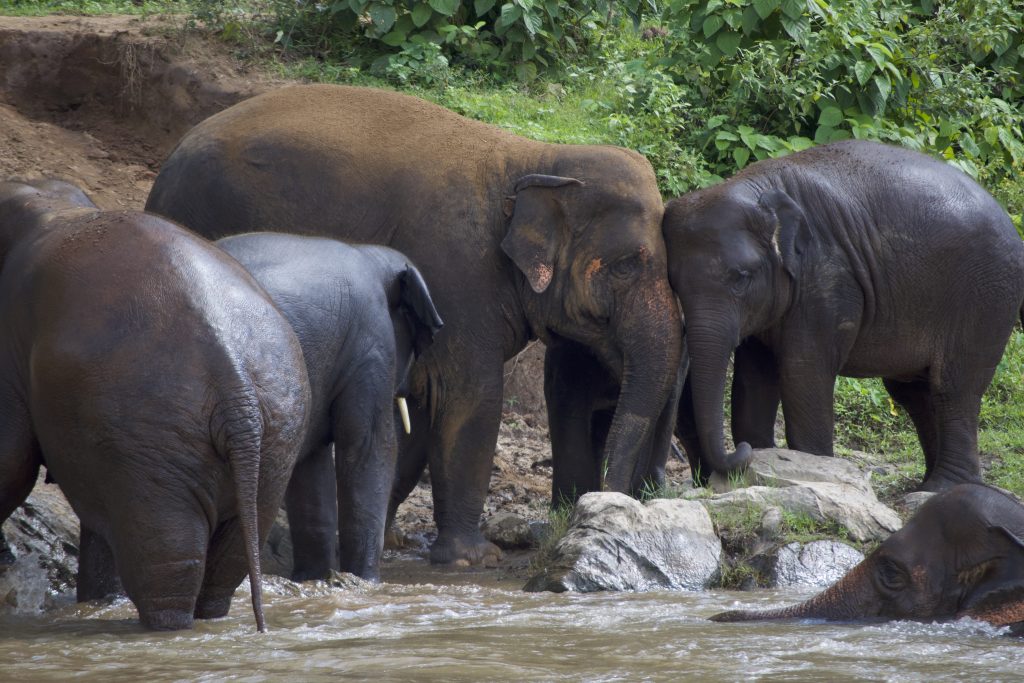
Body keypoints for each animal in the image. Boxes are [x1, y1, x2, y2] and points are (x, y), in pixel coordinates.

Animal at [0, 179, 310, 631]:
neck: (51, 203)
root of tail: (234, 380)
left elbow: (11, 462)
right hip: (274, 440)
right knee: (224, 558)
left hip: (146, 437)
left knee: (165, 559)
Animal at [216, 233, 443, 581]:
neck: (370, 254)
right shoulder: (371, 343)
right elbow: (368, 446)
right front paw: (365, 581)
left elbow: (311, 463)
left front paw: (313, 578)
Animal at [663, 139, 1024, 490]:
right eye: (673, 284)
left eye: (741, 277)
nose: (740, 451)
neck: (756, 187)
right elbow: (754, 377)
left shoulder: (828, 279)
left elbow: (803, 371)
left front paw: (812, 467)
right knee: (913, 392)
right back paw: (926, 486)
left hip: (986, 297)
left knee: (953, 388)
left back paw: (943, 487)